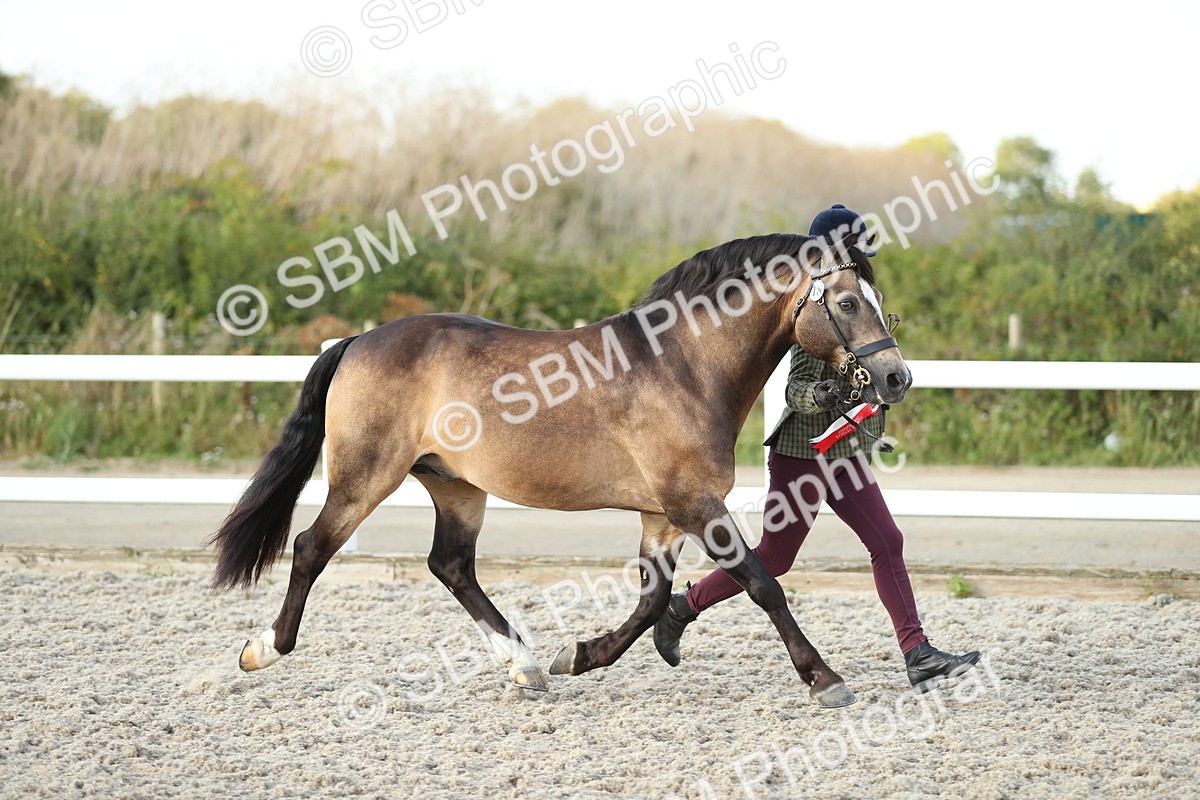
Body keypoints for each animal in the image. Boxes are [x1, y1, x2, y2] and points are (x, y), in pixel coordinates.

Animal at [210, 228, 911, 708]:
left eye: (879, 300)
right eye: (847, 303)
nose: (896, 378)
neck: (683, 367)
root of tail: (357, 340)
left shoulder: (662, 515)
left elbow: (652, 601)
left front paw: (580, 655)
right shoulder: (694, 505)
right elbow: (763, 583)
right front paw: (825, 679)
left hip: (456, 485)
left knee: (451, 566)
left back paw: (524, 666)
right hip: (366, 476)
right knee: (311, 546)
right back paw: (262, 650)